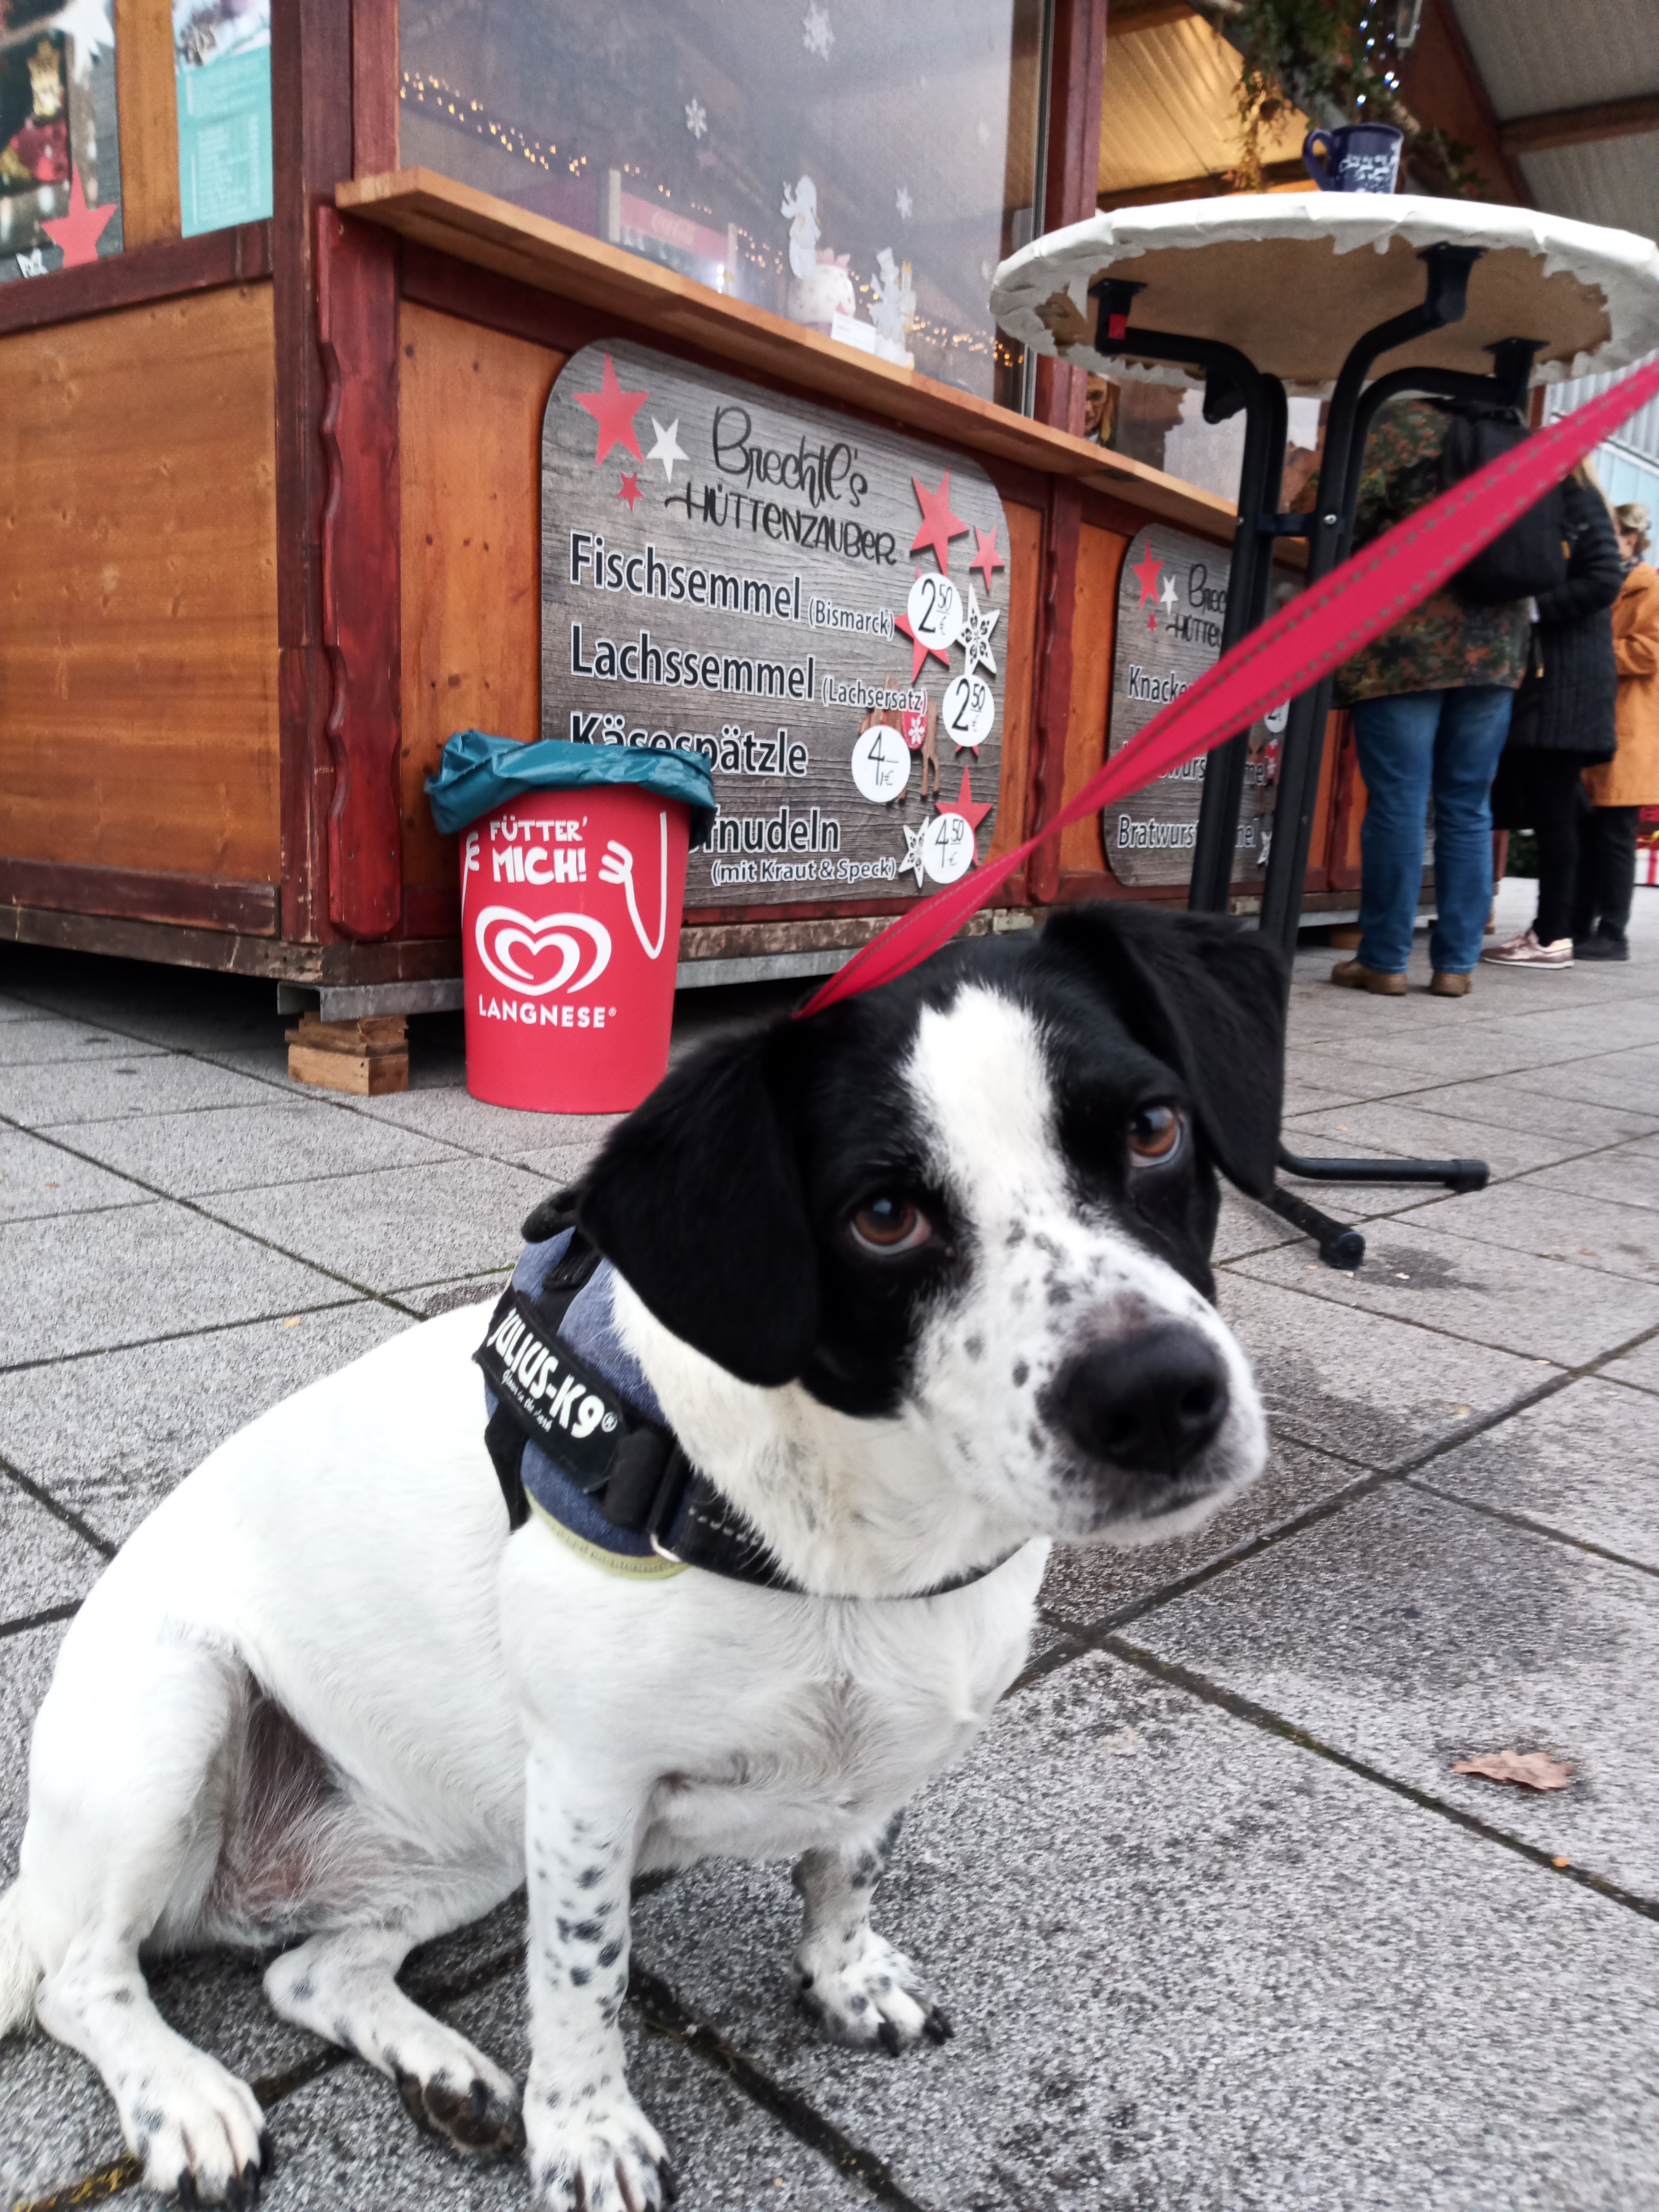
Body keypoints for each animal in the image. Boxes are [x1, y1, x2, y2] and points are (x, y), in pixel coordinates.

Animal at [0, 902, 1286, 2212]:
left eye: (1152, 1129)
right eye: (884, 1216)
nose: (1155, 1397)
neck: (854, 1547)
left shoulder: (871, 1762)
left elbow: (846, 1872)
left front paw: (845, 1978)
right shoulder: (585, 1786)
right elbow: (586, 1976)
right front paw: (586, 2130)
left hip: (465, 1839)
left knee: (304, 1972)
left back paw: (441, 2074)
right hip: (176, 1719)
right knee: (78, 1978)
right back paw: (187, 2099)